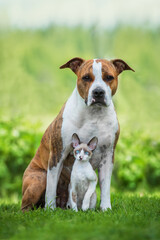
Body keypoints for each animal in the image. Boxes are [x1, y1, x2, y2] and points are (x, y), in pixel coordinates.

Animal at [21, 58, 134, 212]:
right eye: (86, 77)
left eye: (109, 77)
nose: (98, 92)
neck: (94, 114)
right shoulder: (58, 154)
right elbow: (51, 188)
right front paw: (50, 210)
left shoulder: (108, 155)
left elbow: (105, 186)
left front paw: (105, 208)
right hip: (38, 180)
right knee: (26, 205)